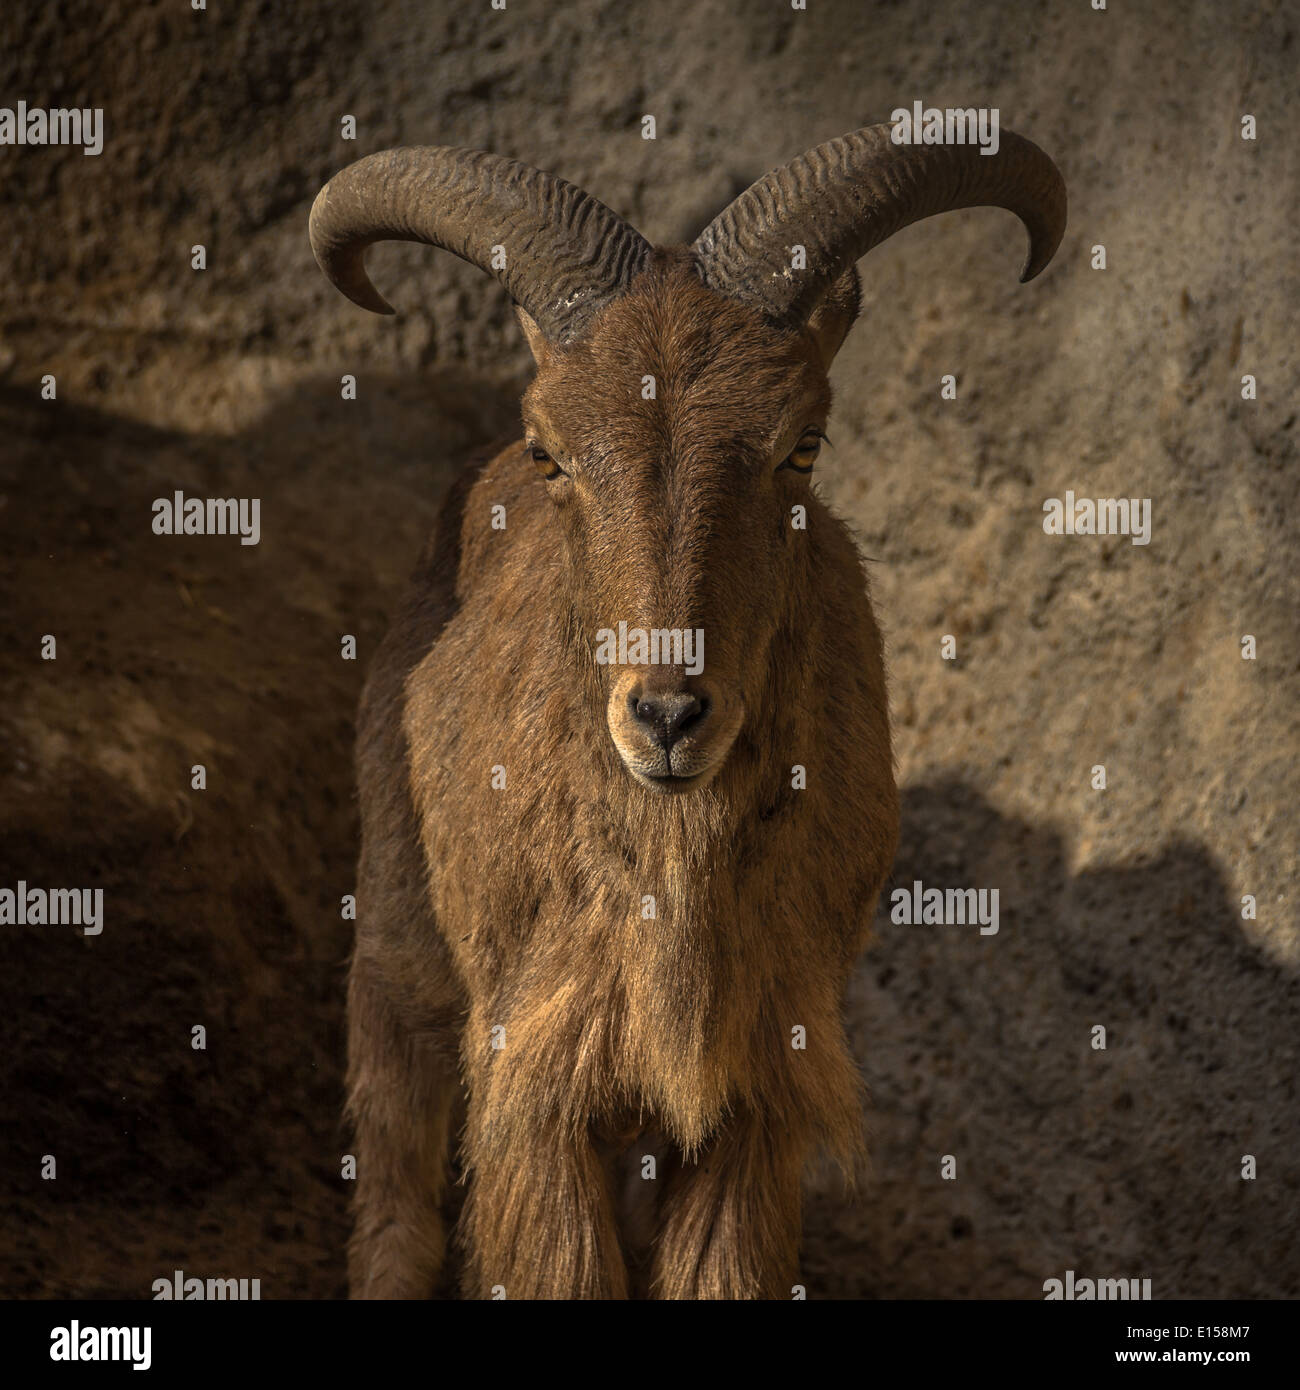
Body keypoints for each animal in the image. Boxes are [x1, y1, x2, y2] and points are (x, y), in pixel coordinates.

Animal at [307, 125, 1067, 1295]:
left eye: (802, 444)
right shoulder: (540, 1081)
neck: (672, 868)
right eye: (551, 452)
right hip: (399, 942)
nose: (667, 715)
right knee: (395, 1194)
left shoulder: (755, 1093)